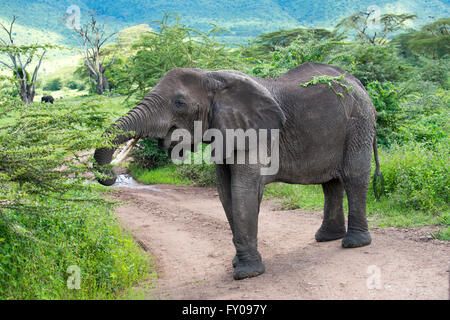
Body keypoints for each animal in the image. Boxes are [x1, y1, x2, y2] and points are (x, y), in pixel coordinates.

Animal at [94, 62, 380, 280]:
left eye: (179, 103)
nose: (111, 176)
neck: (210, 76)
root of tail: (357, 82)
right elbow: (225, 192)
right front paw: (238, 264)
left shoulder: (254, 134)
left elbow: (242, 190)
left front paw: (246, 274)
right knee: (331, 183)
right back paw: (326, 238)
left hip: (359, 123)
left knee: (354, 176)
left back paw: (353, 243)